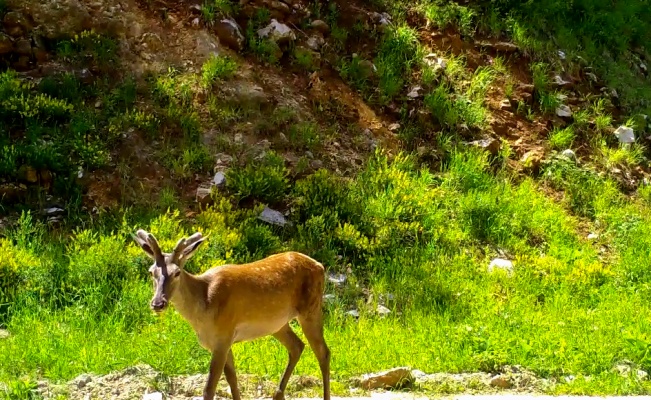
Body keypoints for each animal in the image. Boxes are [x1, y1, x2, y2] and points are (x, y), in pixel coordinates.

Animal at [131, 228, 332, 400]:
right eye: (151, 272)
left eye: (177, 273)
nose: (158, 303)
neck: (203, 309)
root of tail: (321, 266)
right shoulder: (223, 341)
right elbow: (232, 379)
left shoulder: (223, 336)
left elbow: (209, 388)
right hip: (278, 324)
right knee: (297, 346)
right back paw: (278, 394)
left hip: (311, 308)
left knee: (323, 352)